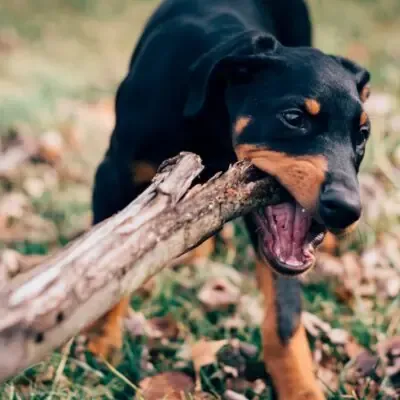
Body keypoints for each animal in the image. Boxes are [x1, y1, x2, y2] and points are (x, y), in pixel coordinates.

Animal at [87, 1, 372, 398]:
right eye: (293, 117)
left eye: (362, 134)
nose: (346, 210)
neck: (212, 123)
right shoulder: (111, 177)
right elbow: (110, 270)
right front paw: (101, 347)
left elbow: (285, 314)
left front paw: (301, 388)